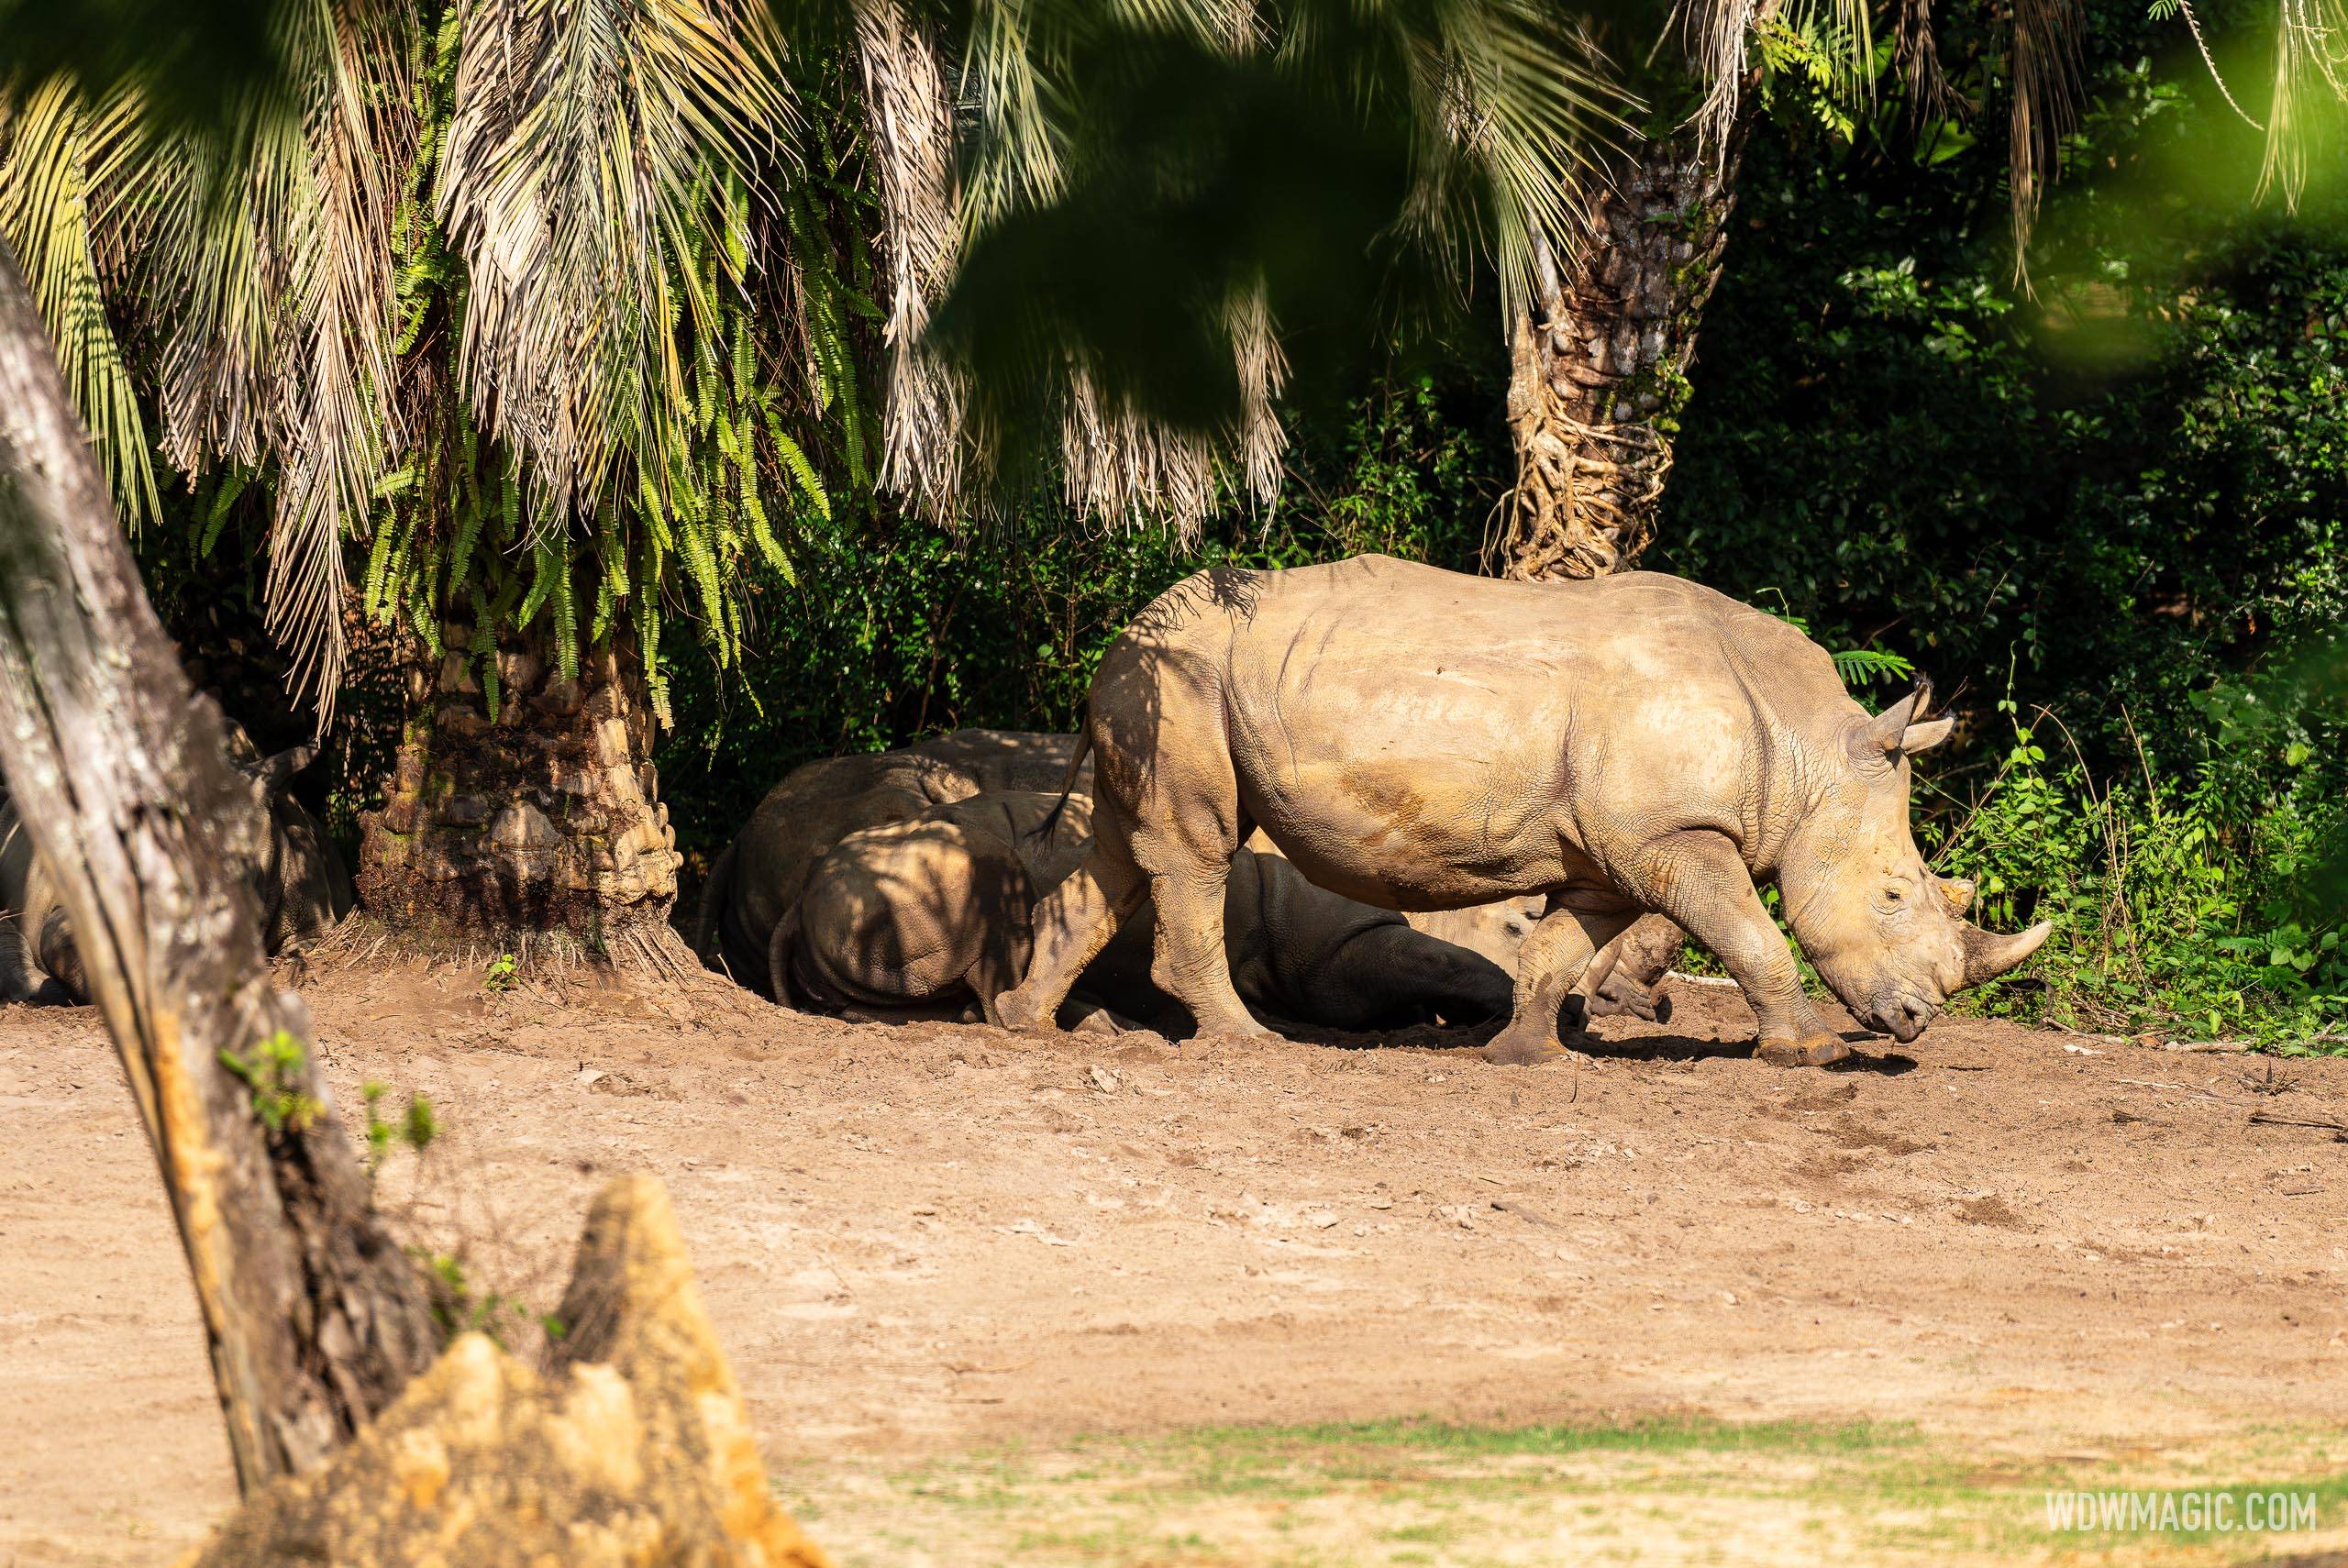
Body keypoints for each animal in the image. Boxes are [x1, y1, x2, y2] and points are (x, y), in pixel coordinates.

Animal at [995, 556, 2056, 1070]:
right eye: (1892, 897)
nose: (1915, 1023)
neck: (1804, 750)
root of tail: (1122, 636)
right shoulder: (1673, 836)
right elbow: (1753, 935)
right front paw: (1808, 1053)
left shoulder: (1617, 854)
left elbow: (1559, 946)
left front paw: (1524, 1055)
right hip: (1183, 682)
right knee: (1194, 851)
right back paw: (1248, 1045)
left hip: (1165, 687)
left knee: (1122, 853)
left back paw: (1029, 1028)